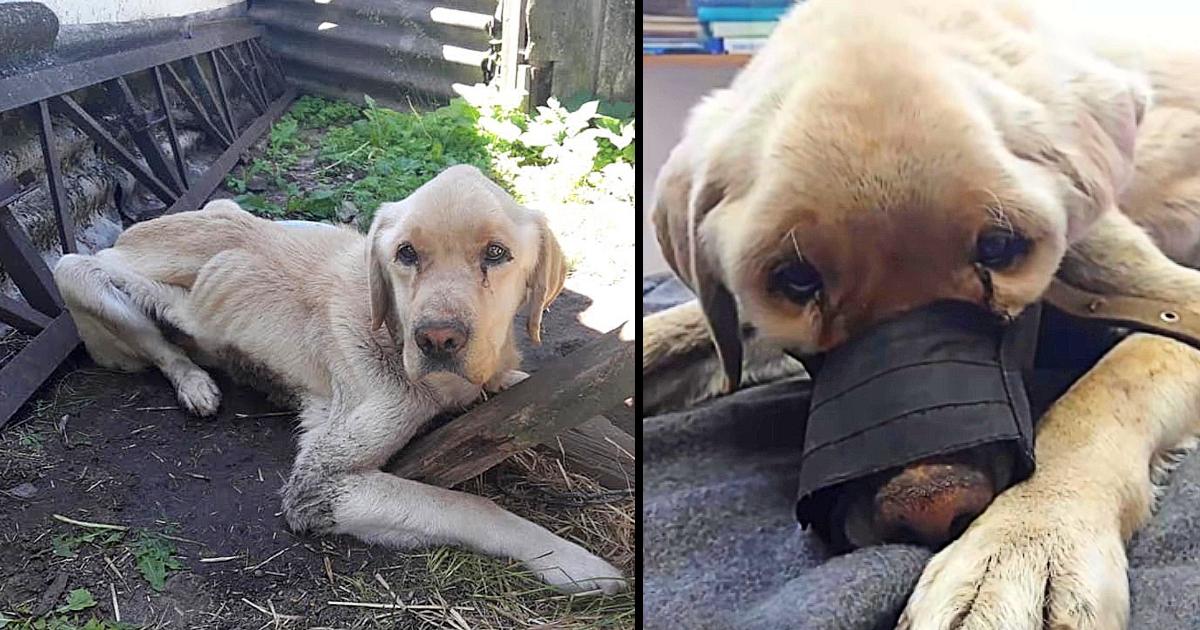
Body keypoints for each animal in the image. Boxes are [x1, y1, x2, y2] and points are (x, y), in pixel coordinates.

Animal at [54, 163, 628, 595]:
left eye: (496, 253)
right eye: (406, 254)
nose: (437, 340)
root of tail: (132, 230)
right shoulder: (318, 485)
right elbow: (471, 505)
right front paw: (572, 561)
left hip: (233, 210)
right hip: (79, 273)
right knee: (158, 343)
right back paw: (195, 381)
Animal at [648, 0, 1200, 624]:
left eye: (999, 247)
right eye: (795, 278)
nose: (927, 504)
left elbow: (1108, 387)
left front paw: (1025, 540)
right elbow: (670, 333)